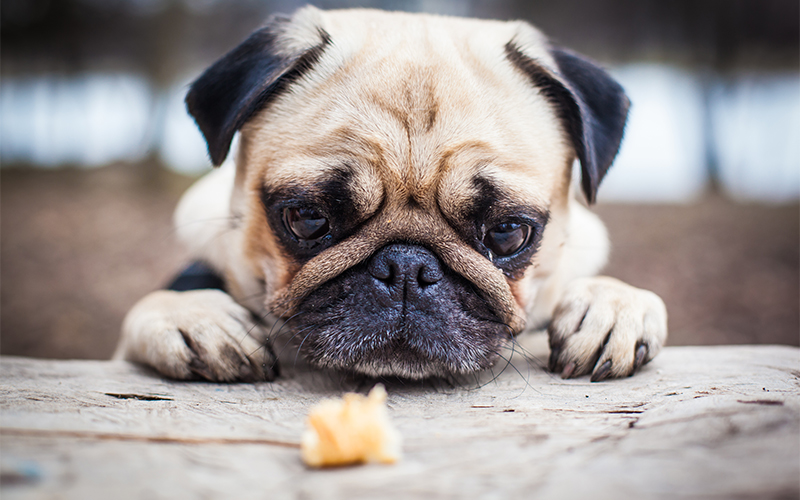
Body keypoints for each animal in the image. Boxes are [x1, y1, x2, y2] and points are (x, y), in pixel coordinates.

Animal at [109, 4, 664, 382]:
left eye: (508, 233)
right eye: (307, 218)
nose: (406, 268)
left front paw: (611, 304)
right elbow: (156, 304)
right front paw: (192, 315)